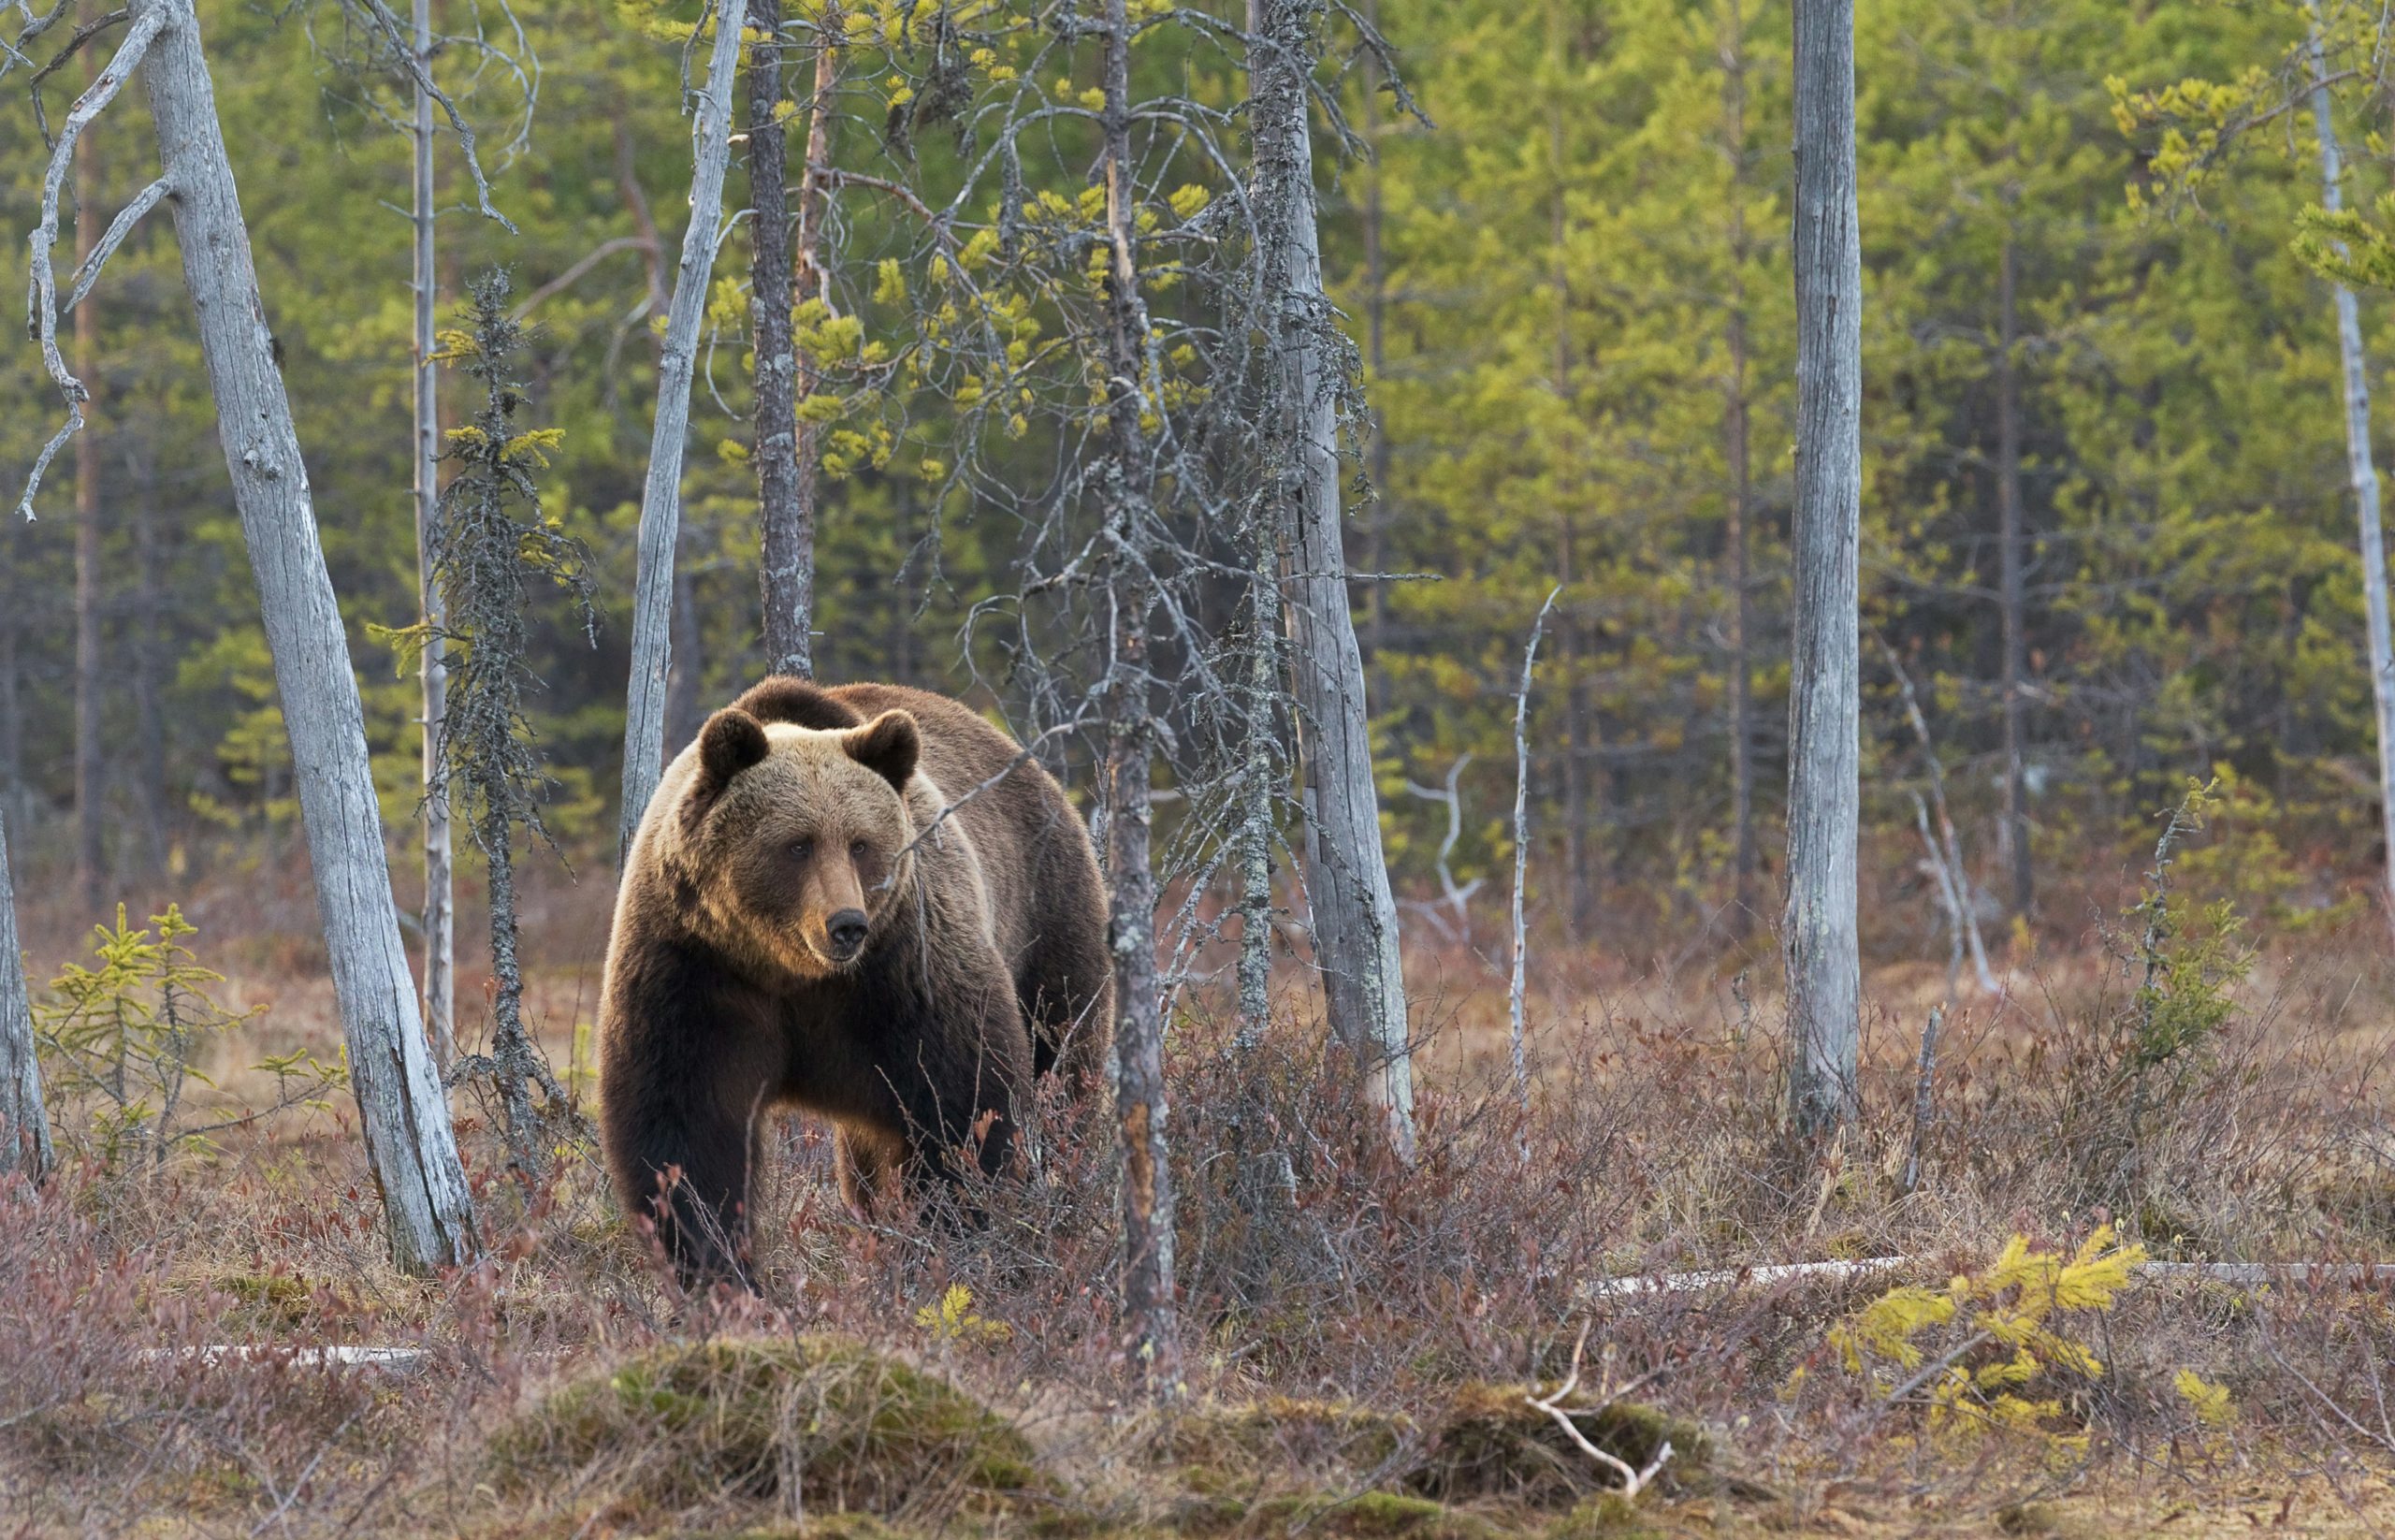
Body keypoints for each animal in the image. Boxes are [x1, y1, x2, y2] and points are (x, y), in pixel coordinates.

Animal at [603, 680, 1115, 1284]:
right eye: (797, 844)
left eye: (861, 843)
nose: (846, 924)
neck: (790, 971)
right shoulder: (693, 968)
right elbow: (686, 1129)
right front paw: (719, 1270)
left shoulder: (904, 969)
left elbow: (963, 1106)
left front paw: (946, 1243)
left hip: (1047, 921)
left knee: (1061, 1071)